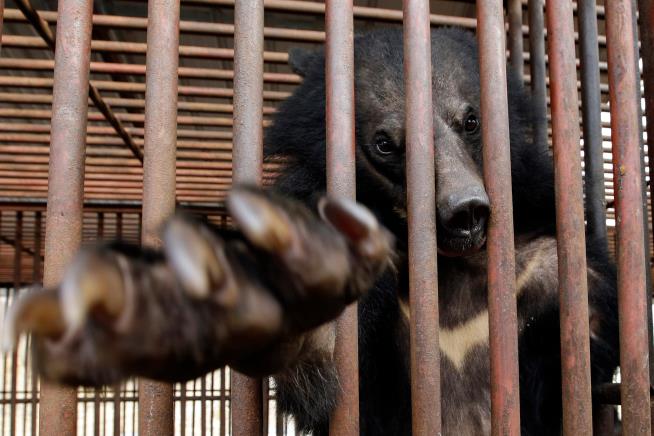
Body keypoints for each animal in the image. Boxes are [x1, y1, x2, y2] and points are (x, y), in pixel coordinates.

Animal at [2, 28, 618, 436]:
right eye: (384, 144)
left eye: (470, 120)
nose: (464, 212)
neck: (443, 266)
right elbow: (320, 371)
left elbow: (589, 343)